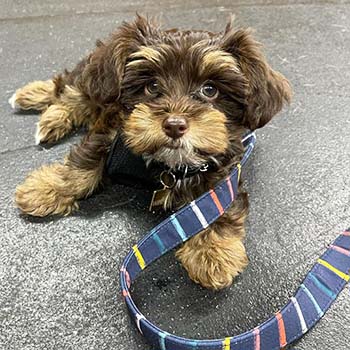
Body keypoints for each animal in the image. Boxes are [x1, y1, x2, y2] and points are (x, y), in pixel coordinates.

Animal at [10, 15, 292, 290]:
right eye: (152, 86)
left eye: (210, 90)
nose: (175, 125)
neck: (168, 166)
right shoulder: (111, 131)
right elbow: (83, 165)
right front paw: (46, 189)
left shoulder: (222, 167)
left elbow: (216, 201)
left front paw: (213, 251)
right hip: (96, 80)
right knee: (70, 89)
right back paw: (39, 103)